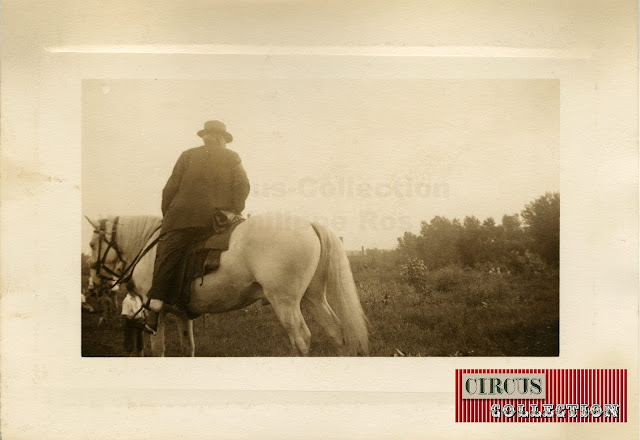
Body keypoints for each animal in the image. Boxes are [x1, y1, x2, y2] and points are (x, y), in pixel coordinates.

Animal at [87, 215, 372, 356]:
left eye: (91, 244)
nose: (92, 287)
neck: (149, 246)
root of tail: (309, 224)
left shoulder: (155, 312)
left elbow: (159, 350)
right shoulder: (181, 314)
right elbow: (188, 348)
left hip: (286, 302)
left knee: (301, 340)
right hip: (313, 298)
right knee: (337, 333)